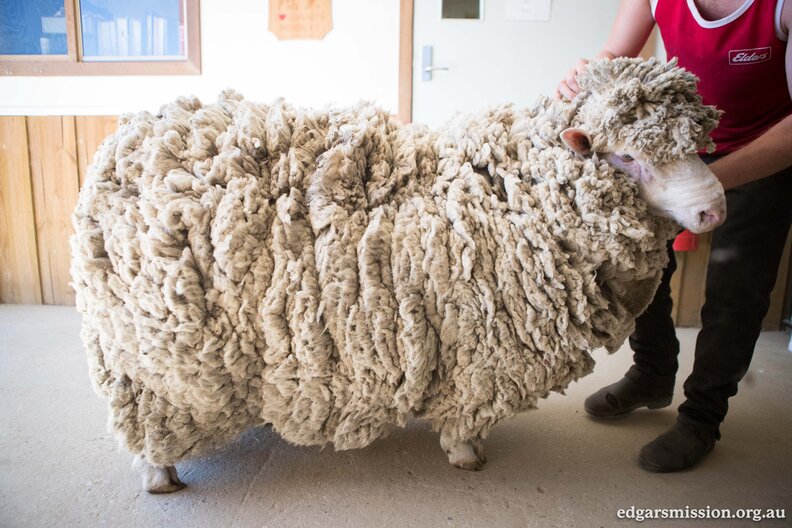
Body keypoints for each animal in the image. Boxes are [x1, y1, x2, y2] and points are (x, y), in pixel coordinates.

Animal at [71, 57, 725, 493]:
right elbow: (467, 417)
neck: (516, 193)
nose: (713, 210)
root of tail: (120, 143)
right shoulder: (480, 347)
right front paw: (466, 455)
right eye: (629, 156)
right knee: (150, 421)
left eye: (701, 147)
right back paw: (161, 475)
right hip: (146, 364)